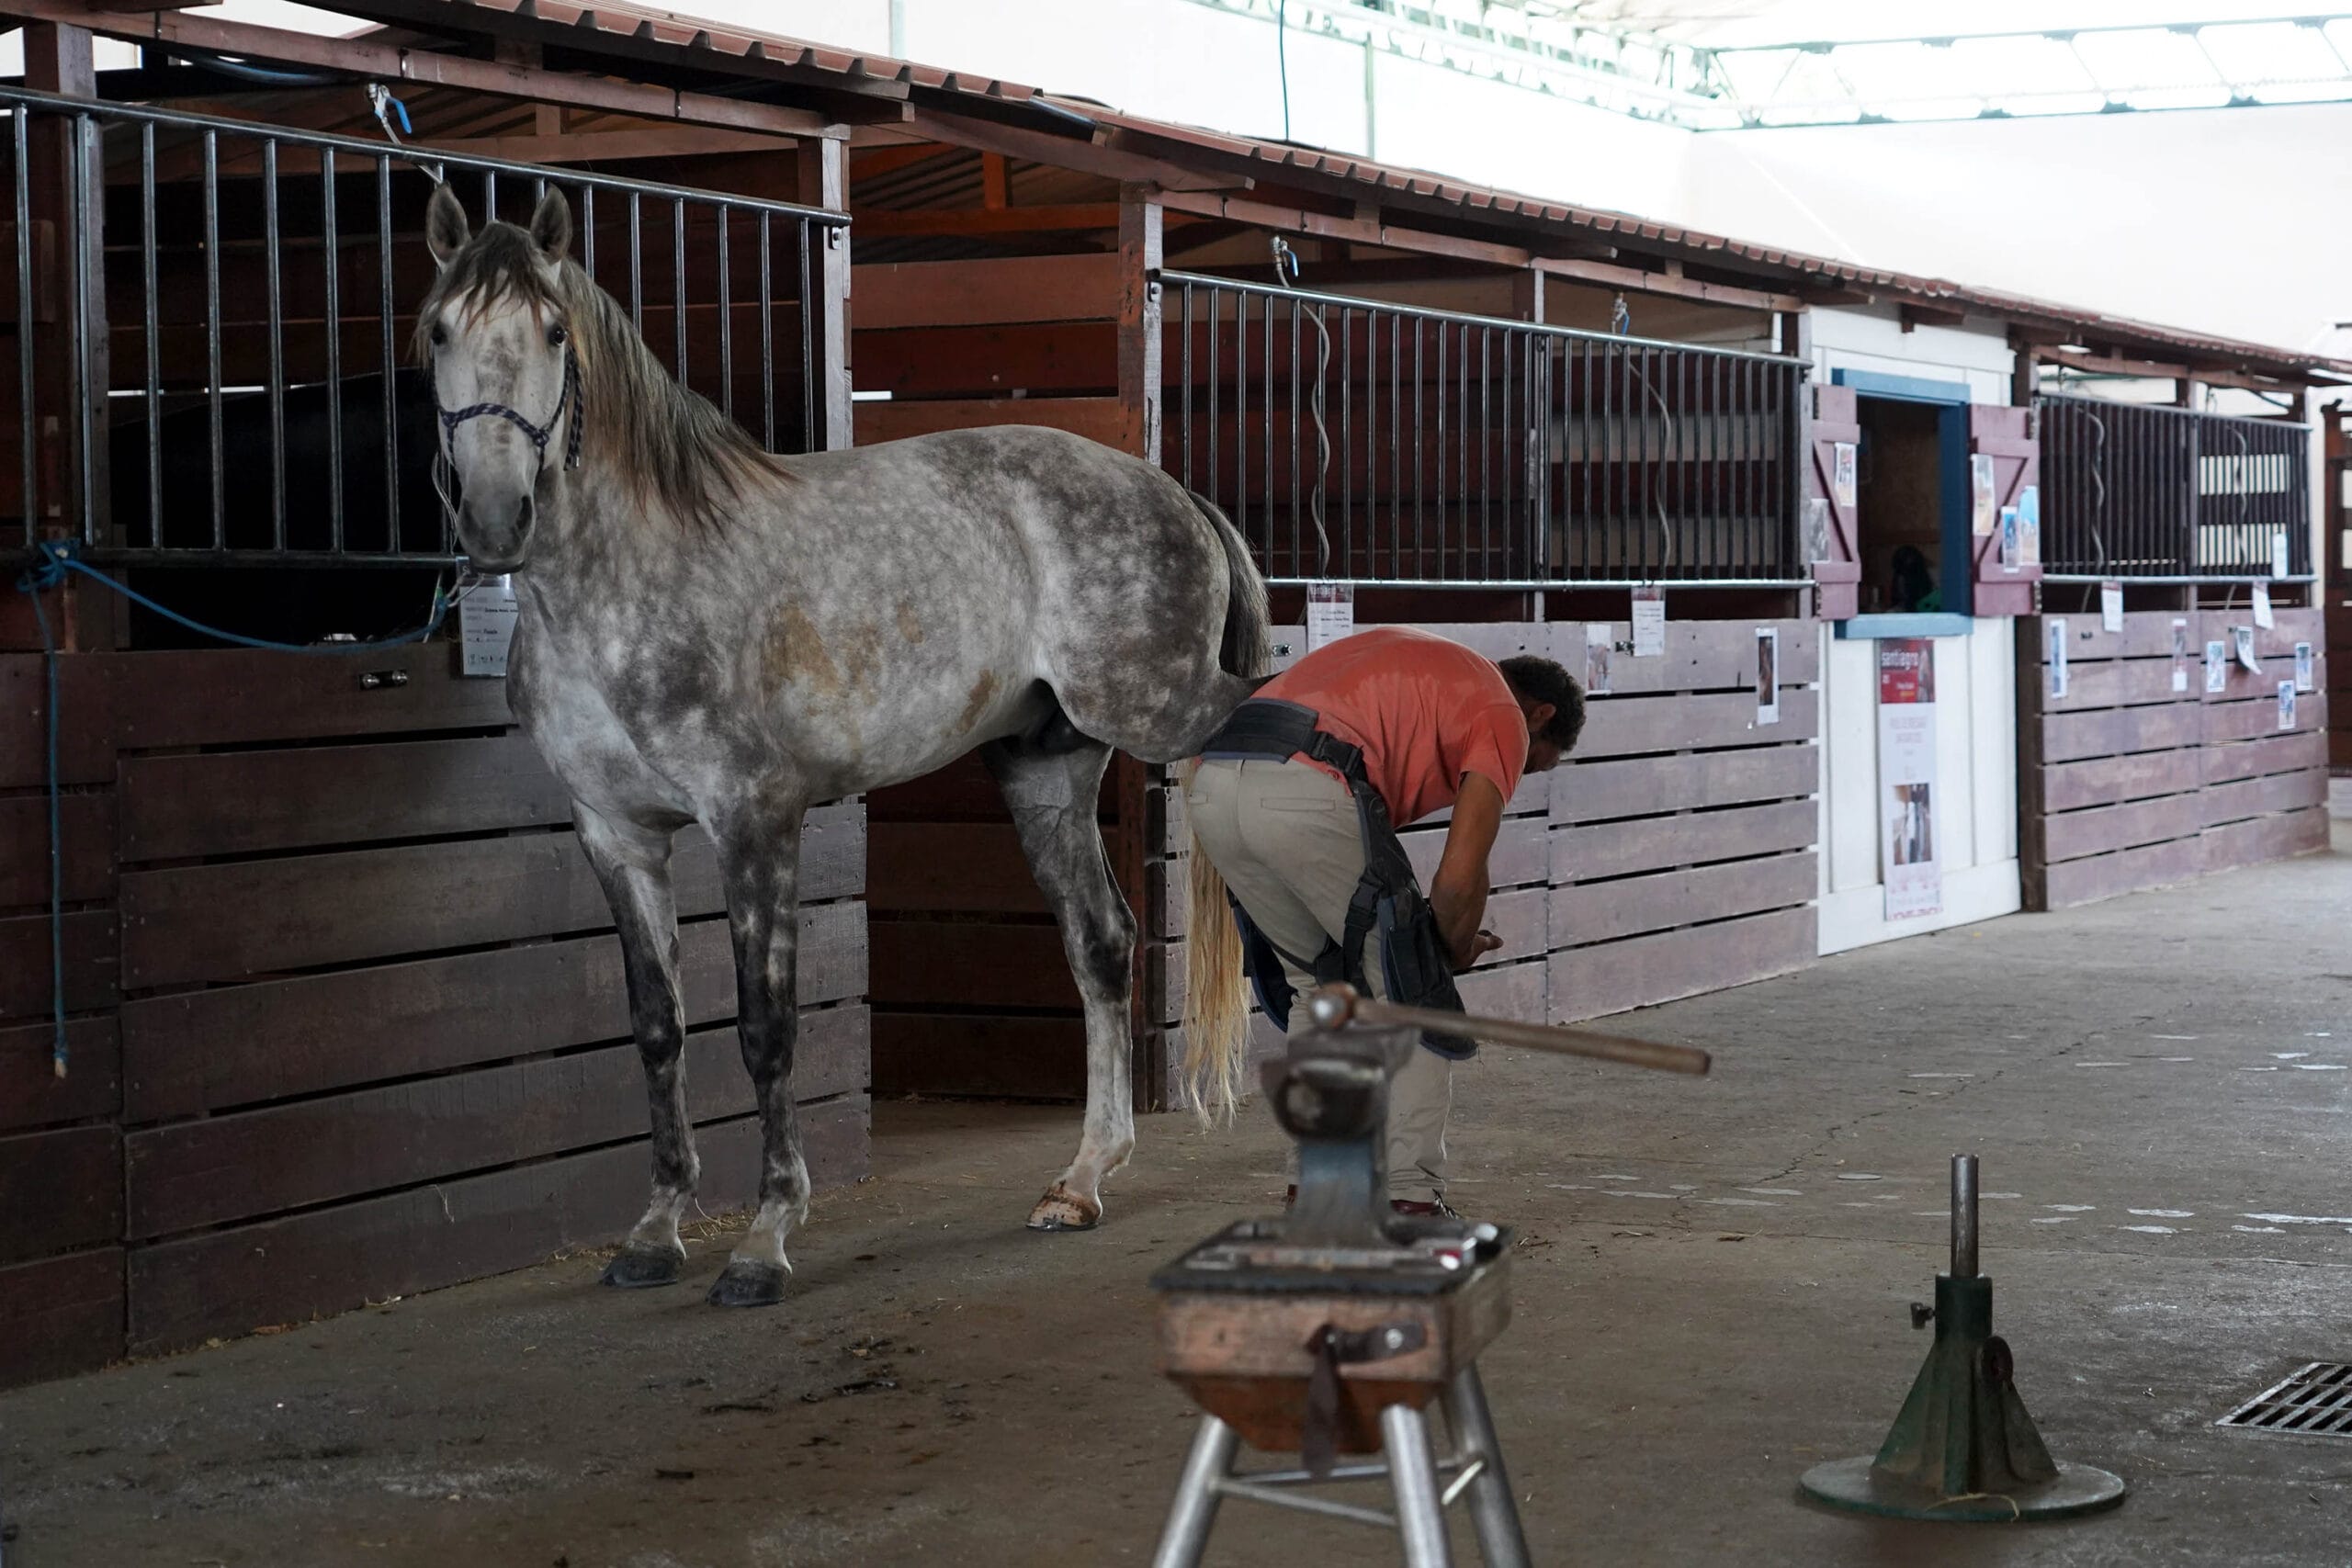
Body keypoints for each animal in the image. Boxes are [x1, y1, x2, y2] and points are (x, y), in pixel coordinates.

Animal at [417, 183, 1268, 1307]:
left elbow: (764, 1028)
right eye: (439, 330)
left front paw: (765, 1239)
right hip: (1048, 764)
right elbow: (657, 1026)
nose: (494, 516)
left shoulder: (753, 818)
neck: (623, 582)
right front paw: (656, 1231)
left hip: (1163, 708)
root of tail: (1169, 487)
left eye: (554, 332)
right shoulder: (616, 833)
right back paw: (1081, 1181)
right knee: (1102, 944)